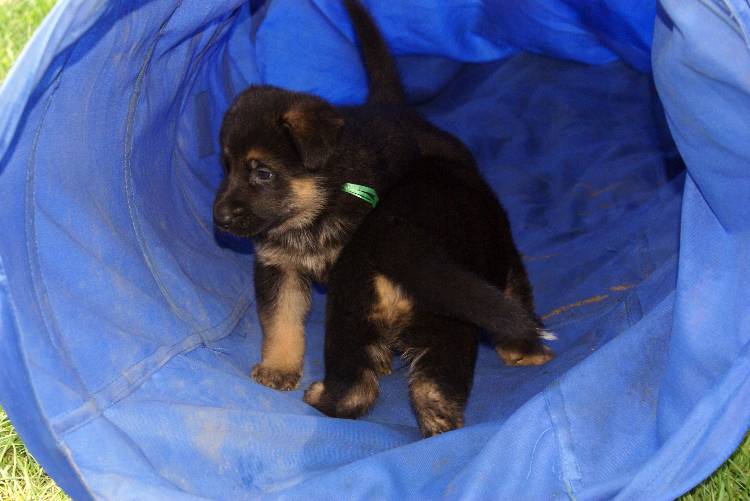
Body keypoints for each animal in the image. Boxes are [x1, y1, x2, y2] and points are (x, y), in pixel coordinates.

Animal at [212, 0, 552, 400]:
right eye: (227, 167)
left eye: (262, 173)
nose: (218, 219)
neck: (318, 209)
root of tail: (396, 107)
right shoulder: (279, 268)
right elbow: (281, 320)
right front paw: (278, 366)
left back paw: (523, 348)